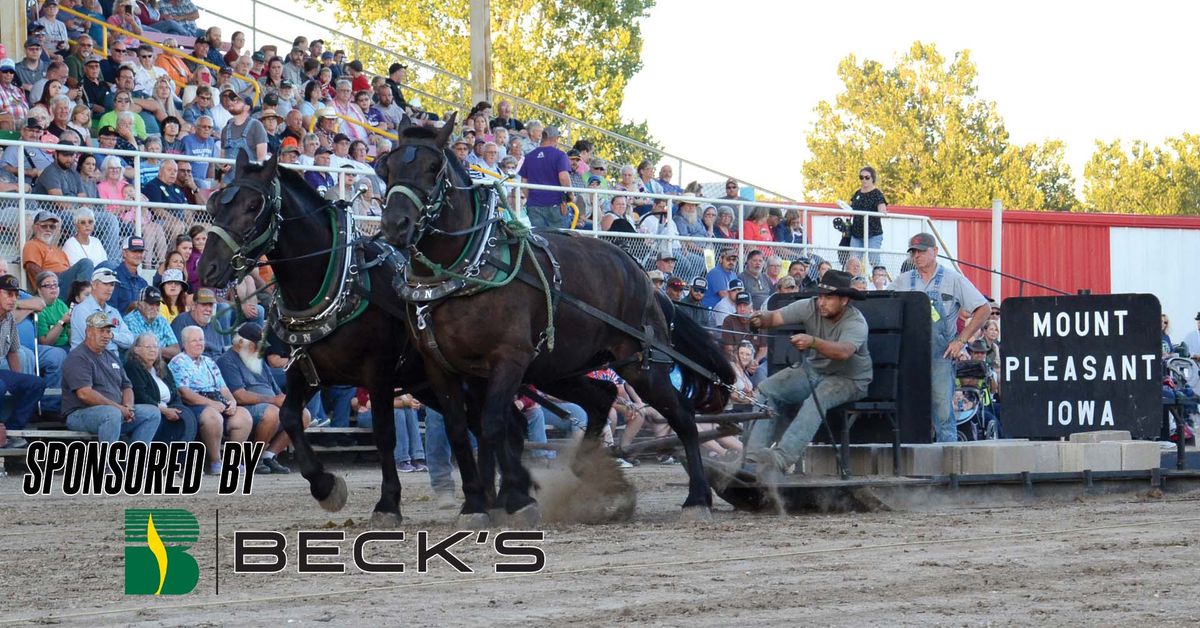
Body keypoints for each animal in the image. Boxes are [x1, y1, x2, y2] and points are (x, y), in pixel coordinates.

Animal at [196, 151, 487, 525]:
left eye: (252, 206)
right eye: (215, 204)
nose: (208, 268)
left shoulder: (378, 373)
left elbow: (384, 434)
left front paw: (387, 503)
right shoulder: (304, 370)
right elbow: (289, 417)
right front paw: (325, 487)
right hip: (427, 384)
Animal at [374, 116, 734, 521]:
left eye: (433, 168)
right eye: (386, 166)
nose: (396, 224)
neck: (465, 271)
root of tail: (643, 277)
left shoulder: (509, 359)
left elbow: (492, 424)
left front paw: (514, 500)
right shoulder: (441, 367)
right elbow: (459, 431)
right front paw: (477, 503)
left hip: (640, 364)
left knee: (683, 416)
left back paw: (698, 497)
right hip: (559, 367)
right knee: (602, 398)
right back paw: (587, 468)